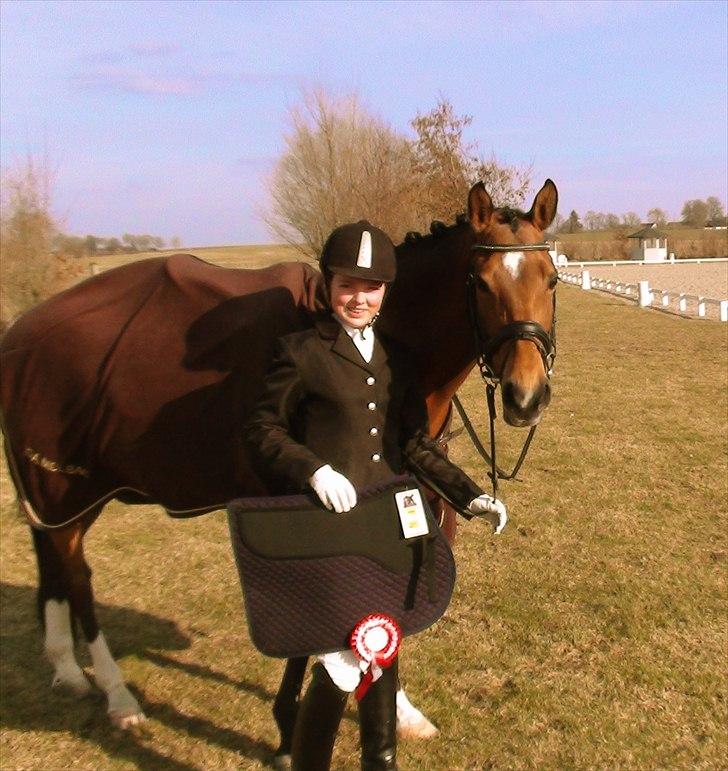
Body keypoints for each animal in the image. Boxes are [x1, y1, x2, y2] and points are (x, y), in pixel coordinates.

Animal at [0, 180, 558, 754]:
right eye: (482, 284)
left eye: (552, 279)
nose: (526, 397)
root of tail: (22, 333)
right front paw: (290, 726)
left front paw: (397, 708)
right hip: (64, 490)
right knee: (78, 579)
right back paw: (118, 696)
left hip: (65, 502)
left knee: (53, 564)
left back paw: (67, 669)